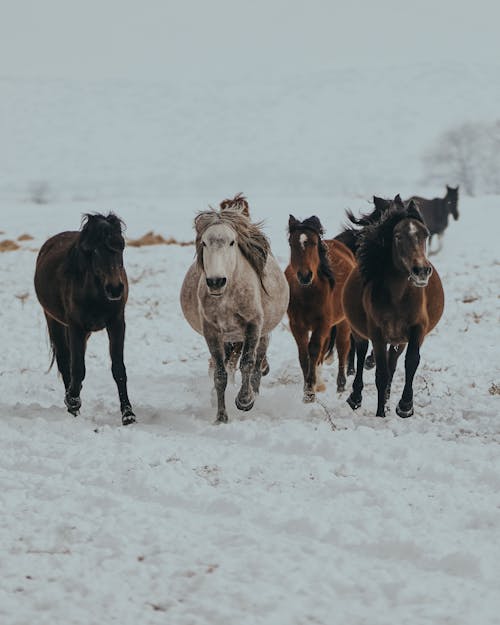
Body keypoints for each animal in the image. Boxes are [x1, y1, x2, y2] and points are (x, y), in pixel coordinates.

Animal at [33, 213, 136, 424]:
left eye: (121, 246)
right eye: (95, 250)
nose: (115, 289)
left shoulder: (116, 324)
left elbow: (118, 369)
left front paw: (128, 414)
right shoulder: (76, 327)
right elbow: (77, 367)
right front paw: (73, 402)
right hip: (54, 320)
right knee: (65, 361)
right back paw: (72, 404)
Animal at [180, 207, 290, 422]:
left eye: (232, 242)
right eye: (204, 242)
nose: (216, 282)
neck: (227, 298)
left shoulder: (253, 325)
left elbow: (247, 363)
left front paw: (245, 401)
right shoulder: (212, 331)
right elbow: (220, 374)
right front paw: (221, 416)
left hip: (262, 334)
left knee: (257, 363)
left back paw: (254, 394)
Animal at [286, 214, 356, 400]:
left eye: (314, 243)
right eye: (291, 243)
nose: (304, 275)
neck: (307, 293)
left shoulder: (322, 324)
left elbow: (314, 349)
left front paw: (310, 389)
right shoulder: (297, 326)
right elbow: (303, 354)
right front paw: (309, 387)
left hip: (343, 322)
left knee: (342, 346)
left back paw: (340, 385)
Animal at [342, 197, 444, 416]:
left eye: (425, 234)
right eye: (398, 236)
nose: (421, 271)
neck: (398, 297)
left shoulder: (417, 328)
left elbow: (410, 362)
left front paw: (404, 406)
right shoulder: (377, 332)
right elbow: (381, 373)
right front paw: (381, 414)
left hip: (399, 339)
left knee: (393, 363)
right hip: (360, 331)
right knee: (362, 355)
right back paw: (355, 397)